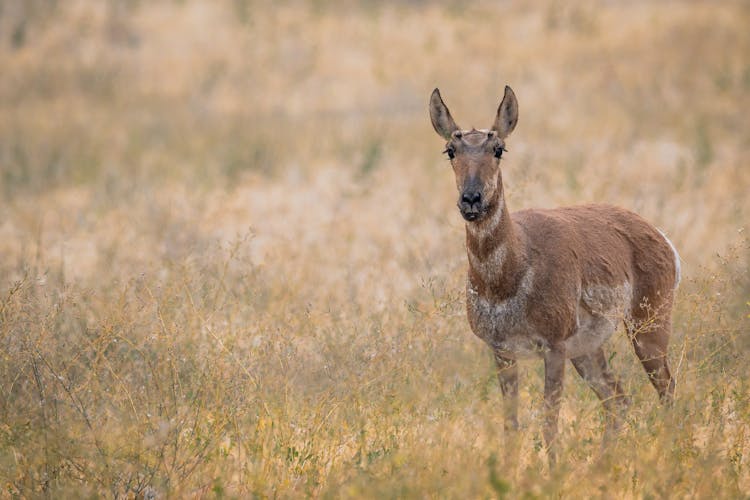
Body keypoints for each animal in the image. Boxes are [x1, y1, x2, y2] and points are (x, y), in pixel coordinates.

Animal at [428, 86, 680, 464]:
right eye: (450, 150)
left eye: (498, 148)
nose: (471, 199)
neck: (508, 279)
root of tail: (661, 236)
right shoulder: (502, 350)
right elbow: (511, 425)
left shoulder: (554, 346)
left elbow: (549, 423)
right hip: (589, 348)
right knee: (618, 397)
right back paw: (601, 465)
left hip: (646, 329)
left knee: (666, 390)